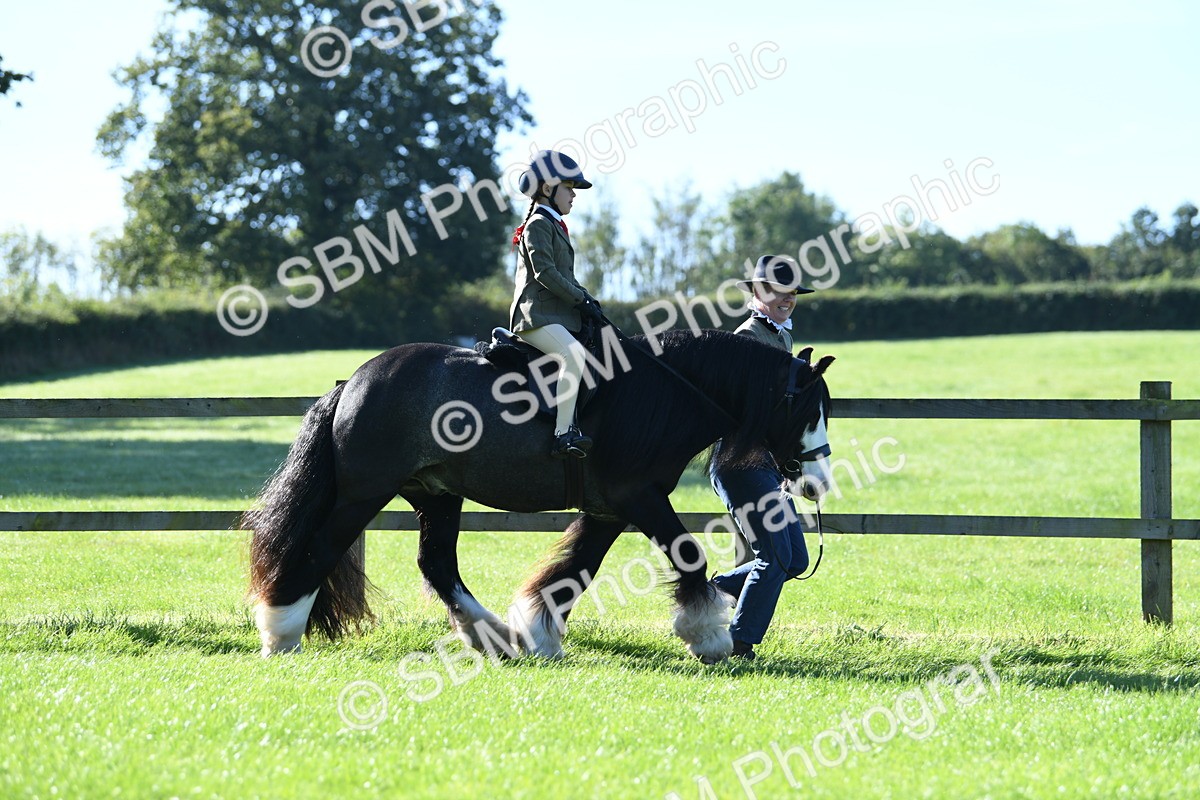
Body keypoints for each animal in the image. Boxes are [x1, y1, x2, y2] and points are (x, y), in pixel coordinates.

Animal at [245, 327, 835, 663]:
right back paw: (281, 633)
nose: (818, 483)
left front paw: (539, 631)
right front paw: (707, 637)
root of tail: (353, 382)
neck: (664, 392)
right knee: (320, 549)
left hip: (437, 495)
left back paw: (495, 638)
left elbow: (576, 571)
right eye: (809, 411)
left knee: (437, 564)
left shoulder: (608, 510)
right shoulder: (639, 499)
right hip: (363, 495)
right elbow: (689, 555)